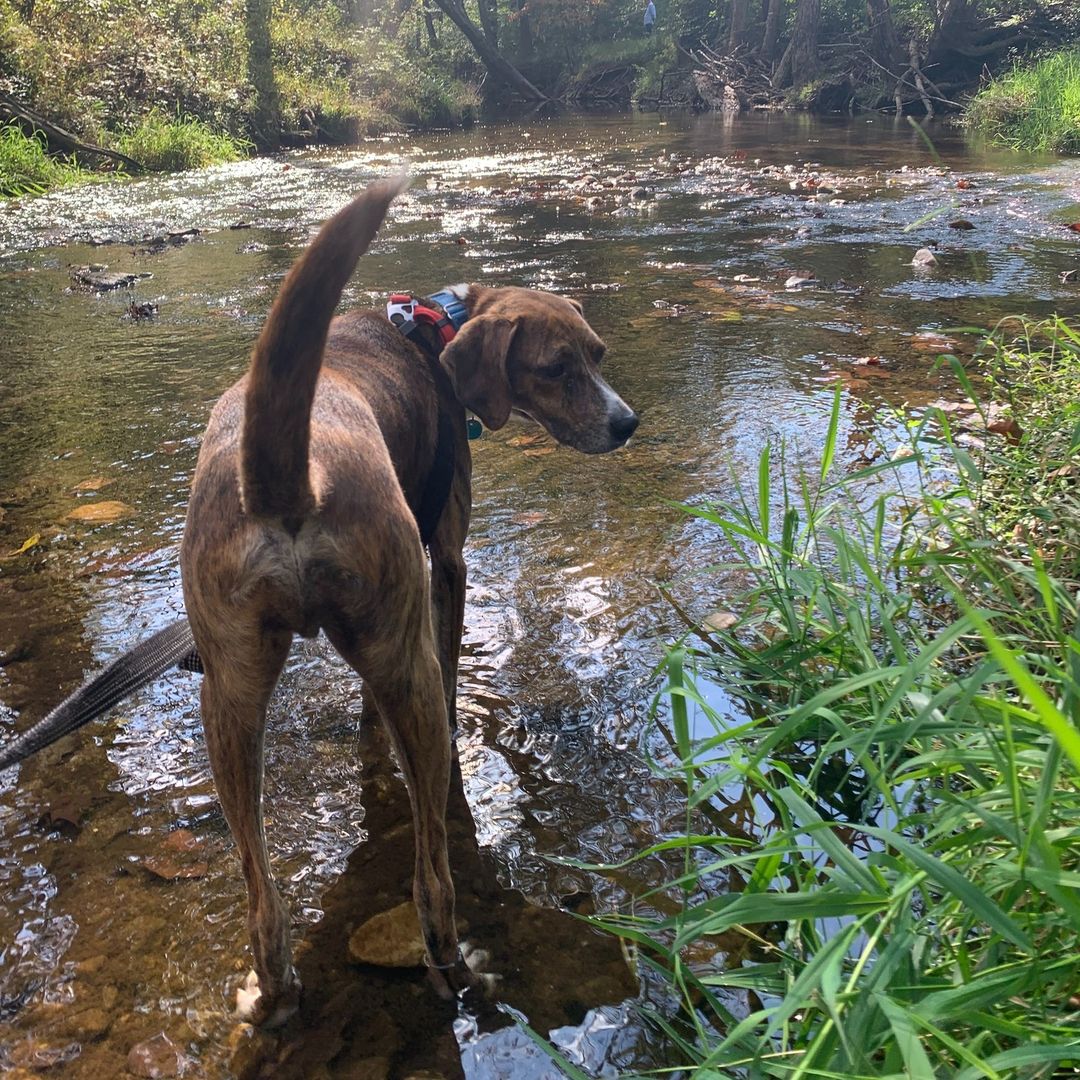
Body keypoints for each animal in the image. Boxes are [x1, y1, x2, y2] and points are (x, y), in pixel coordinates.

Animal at [180, 179, 635, 1028]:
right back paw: (462, 969)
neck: (433, 330)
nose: (628, 423)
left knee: (264, 909)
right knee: (432, 883)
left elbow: (364, 714)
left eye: (597, 355)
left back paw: (272, 996)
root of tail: (289, 471)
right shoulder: (444, 565)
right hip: (407, 668)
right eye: (557, 366)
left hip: (228, 701)